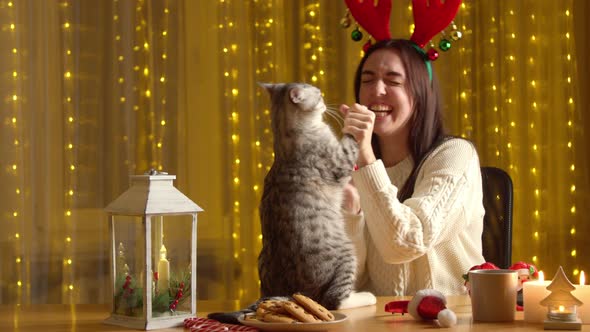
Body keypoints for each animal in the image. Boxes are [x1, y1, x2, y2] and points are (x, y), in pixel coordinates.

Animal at [258, 81, 376, 310]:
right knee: (334, 300)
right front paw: (354, 119)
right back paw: (366, 296)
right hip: (347, 254)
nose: (324, 99)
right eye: (319, 95)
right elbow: (351, 139)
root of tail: (294, 291)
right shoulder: (340, 161)